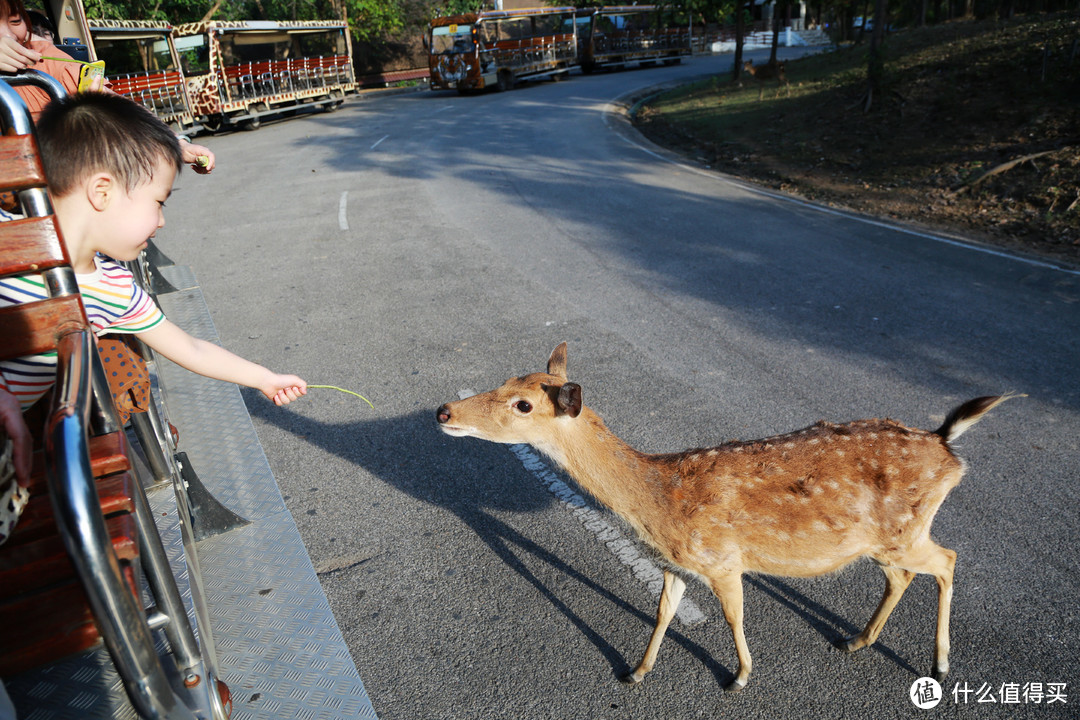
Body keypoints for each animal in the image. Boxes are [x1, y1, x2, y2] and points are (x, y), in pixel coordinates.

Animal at [434, 343, 1015, 690]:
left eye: (524, 405)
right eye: (504, 379)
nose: (444, 411)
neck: (660, 505)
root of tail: (947, 445)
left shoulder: (722, 559)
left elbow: (734, 615)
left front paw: (739, 677)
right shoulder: (677, 564)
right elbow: (663, 612)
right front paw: (636, 671)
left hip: (906, 530)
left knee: (946, 559)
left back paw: (940, 662)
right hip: (884, 539)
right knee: (903, 575)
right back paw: (856, 640)